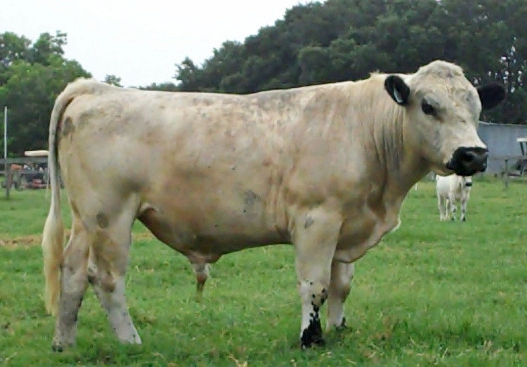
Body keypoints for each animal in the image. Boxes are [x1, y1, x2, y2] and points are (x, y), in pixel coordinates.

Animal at [41, 60, 504, 350]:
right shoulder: (317, 219)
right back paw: (131, 342)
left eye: (477, 107)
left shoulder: (347, 225)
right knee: (106, 279)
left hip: (86, 220)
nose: (473, 155)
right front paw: (311, 339)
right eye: (428, 106)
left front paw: (339, 329)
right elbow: (315, 284)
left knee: (72, 272)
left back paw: (64, 342)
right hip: (111, 216)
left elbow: (342, 284)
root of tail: (94, 88)